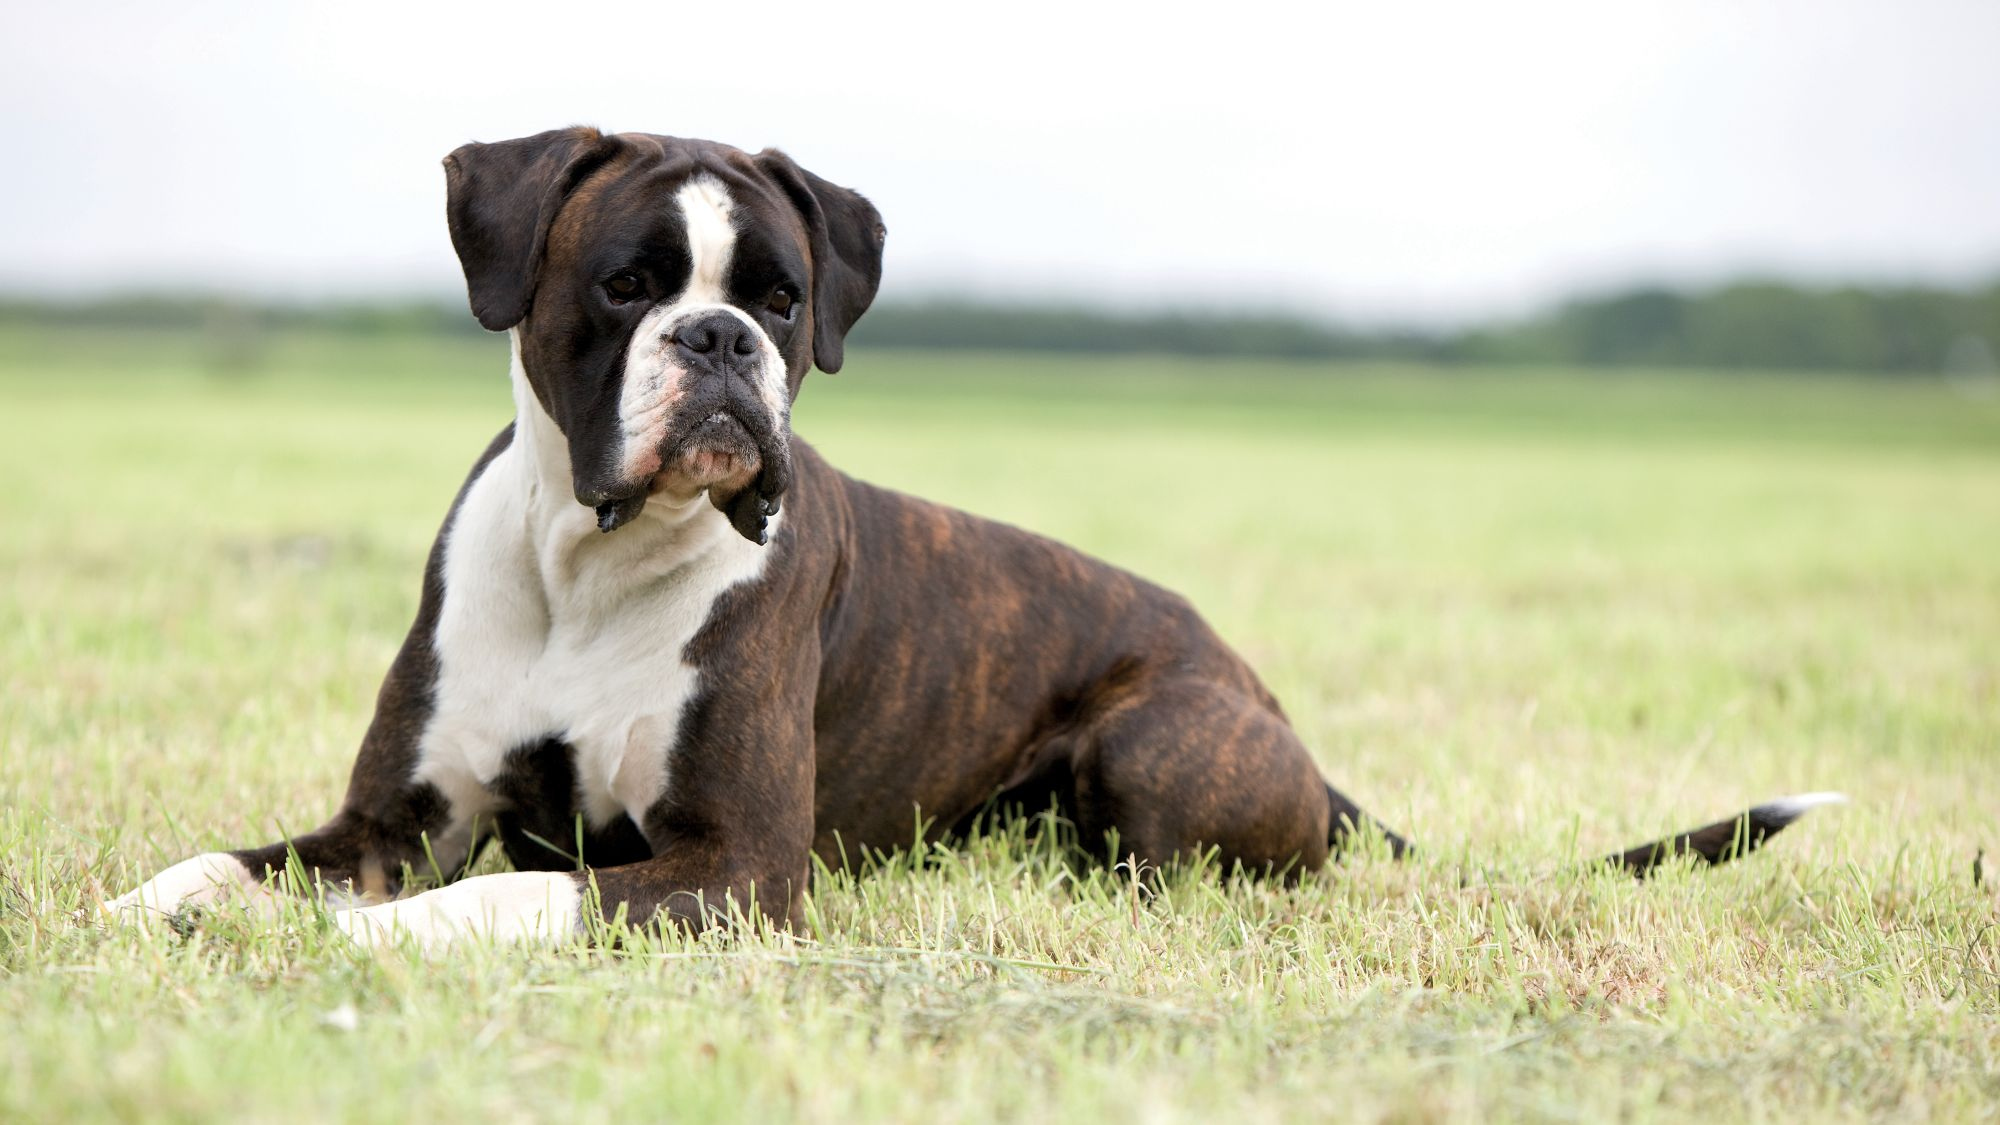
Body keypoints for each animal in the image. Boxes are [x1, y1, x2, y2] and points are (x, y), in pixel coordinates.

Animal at [101, 124, 1832, 944]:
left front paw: (377, 949)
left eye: (783, 294)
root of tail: (1275, 709)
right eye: (626, 284)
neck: (588, 567)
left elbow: (515, 893)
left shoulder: (736, 863)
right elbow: (226, 864)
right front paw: (128, 915)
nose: (721, 341)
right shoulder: (388, 821)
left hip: (1155, 737)